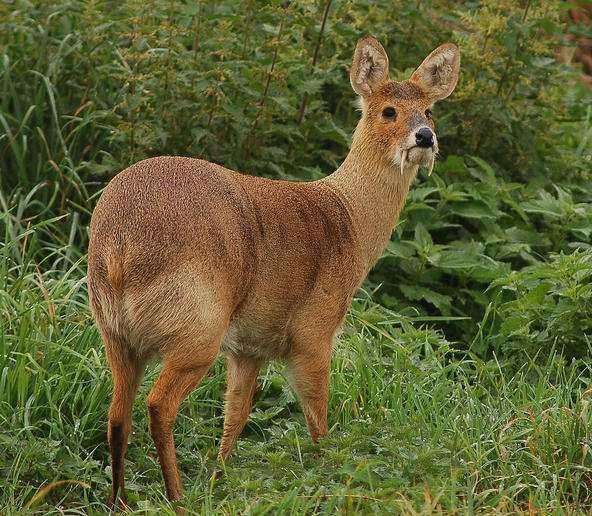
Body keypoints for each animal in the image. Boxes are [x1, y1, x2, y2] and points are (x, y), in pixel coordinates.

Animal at [88, 36, 460, 508]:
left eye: (429, 110)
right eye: (388, 110)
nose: (425, 137)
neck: (349, 220)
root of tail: (119, 245)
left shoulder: (249, 347)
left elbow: (236, 413)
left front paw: (220, 478)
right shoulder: (313, 333)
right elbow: (318, 419)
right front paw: (327, 478)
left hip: (116, 334)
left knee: (117, 416)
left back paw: (120, 500)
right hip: (197, 329)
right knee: (159, 405)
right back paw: (177, 496)